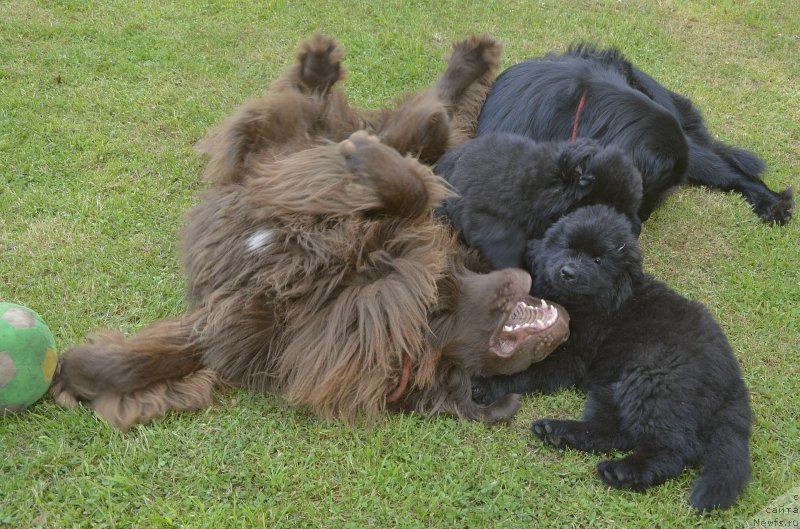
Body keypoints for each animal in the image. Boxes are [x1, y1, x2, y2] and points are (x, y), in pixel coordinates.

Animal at [51, 33, 568, 428]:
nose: (560, 332)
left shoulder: (246, 324)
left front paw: (78, 374)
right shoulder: (248, 307)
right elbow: (410, 188)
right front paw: (75, 372)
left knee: (416, 113)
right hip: (296, 147)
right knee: (396, 113)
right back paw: (329, 69)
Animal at [472, 204, 752, 510]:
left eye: (598, 260)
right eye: (567, 246)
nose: (568, 272)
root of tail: (733, 381)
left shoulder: (570, 357)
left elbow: (528, 371)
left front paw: (487, 384)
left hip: (654, 380)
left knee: (675, 447)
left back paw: (624, 472)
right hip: (611, 386)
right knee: (613, 431)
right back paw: (558, 432)